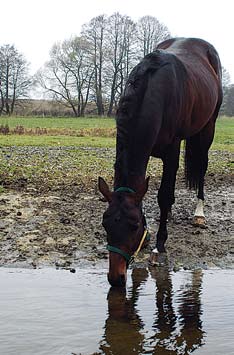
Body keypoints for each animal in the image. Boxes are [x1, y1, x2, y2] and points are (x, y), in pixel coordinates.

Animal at [98, 37, 223, 288]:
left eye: (133, 226)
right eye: (106, 224)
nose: (116, 278)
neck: (154, 91)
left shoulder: (171, 150)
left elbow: (163, 195)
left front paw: (158, 246)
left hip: (207, 129)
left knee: (202, 168)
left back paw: (199, 214)